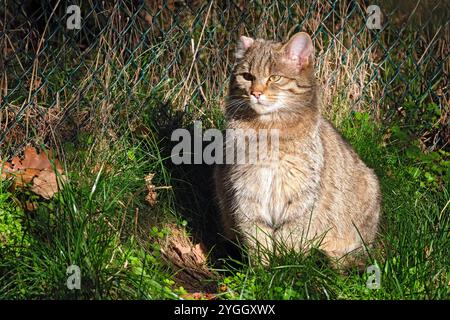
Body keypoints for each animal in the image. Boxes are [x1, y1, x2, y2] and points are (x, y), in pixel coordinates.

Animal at [214, 31, 380, 268]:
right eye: (247, 76)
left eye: (275, 78)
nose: (255, 93)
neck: (268, 130)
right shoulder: (246, 192)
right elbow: (256, 237)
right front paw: (262, 269)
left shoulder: (300, 198)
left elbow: (290, 238)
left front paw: (286, 264)